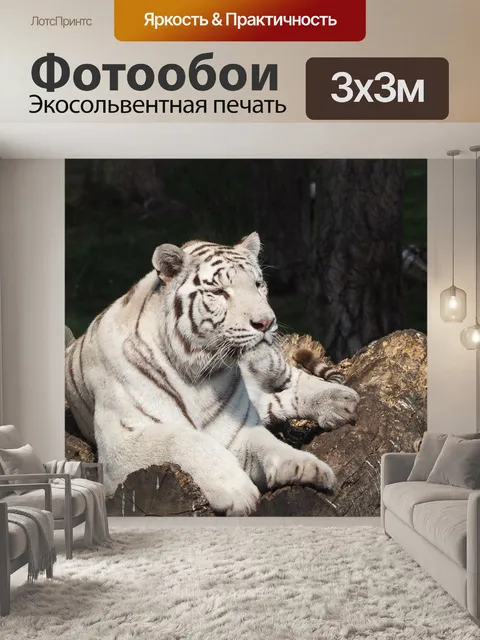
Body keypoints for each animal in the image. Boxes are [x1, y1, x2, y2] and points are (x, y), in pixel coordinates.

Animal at [65, 232, 359, 515]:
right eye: (219, 291)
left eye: (258, 284)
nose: (266, 322)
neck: (194, 373)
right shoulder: (119, 446)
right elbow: (184, 439)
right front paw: (237, 490)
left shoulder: (237, 430)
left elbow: (270, 445)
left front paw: (310, 466)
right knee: (277, 402)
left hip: (268, 362)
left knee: (294, 378)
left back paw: (341, 398)